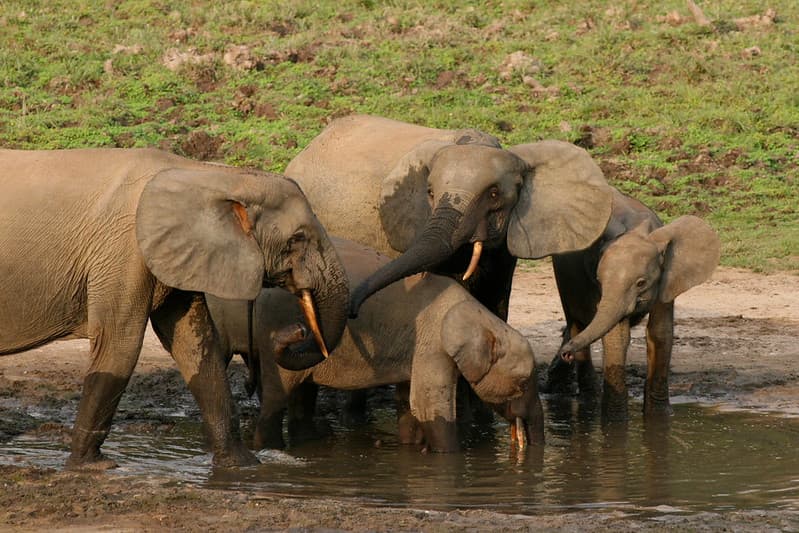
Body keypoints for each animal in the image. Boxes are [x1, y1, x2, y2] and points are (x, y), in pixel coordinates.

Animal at [0, 148, 349, 469]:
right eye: (297, 239)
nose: (298, 329)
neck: (206, 173)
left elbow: (195, 344)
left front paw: (243, 466)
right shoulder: (124, 252)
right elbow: (120, 344)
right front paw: (93, 467)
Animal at [206, 237, 544, 453]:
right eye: (522, 382)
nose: (529, 453)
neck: (481, 317)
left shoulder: (418, 350)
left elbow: (409, 403)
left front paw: (414, 449)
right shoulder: (432, 346)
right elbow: (429, 406)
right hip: (275, 329)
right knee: (278, 395)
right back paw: (270, 449)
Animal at [543, 187, 720, 418]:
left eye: (641, 283)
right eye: (599, 280)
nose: (566, 354)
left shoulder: (667, 278)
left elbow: (660, 333)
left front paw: (659, 416)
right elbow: (617, 337)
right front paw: (615, 421)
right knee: (577, 323)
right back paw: (589, 400)